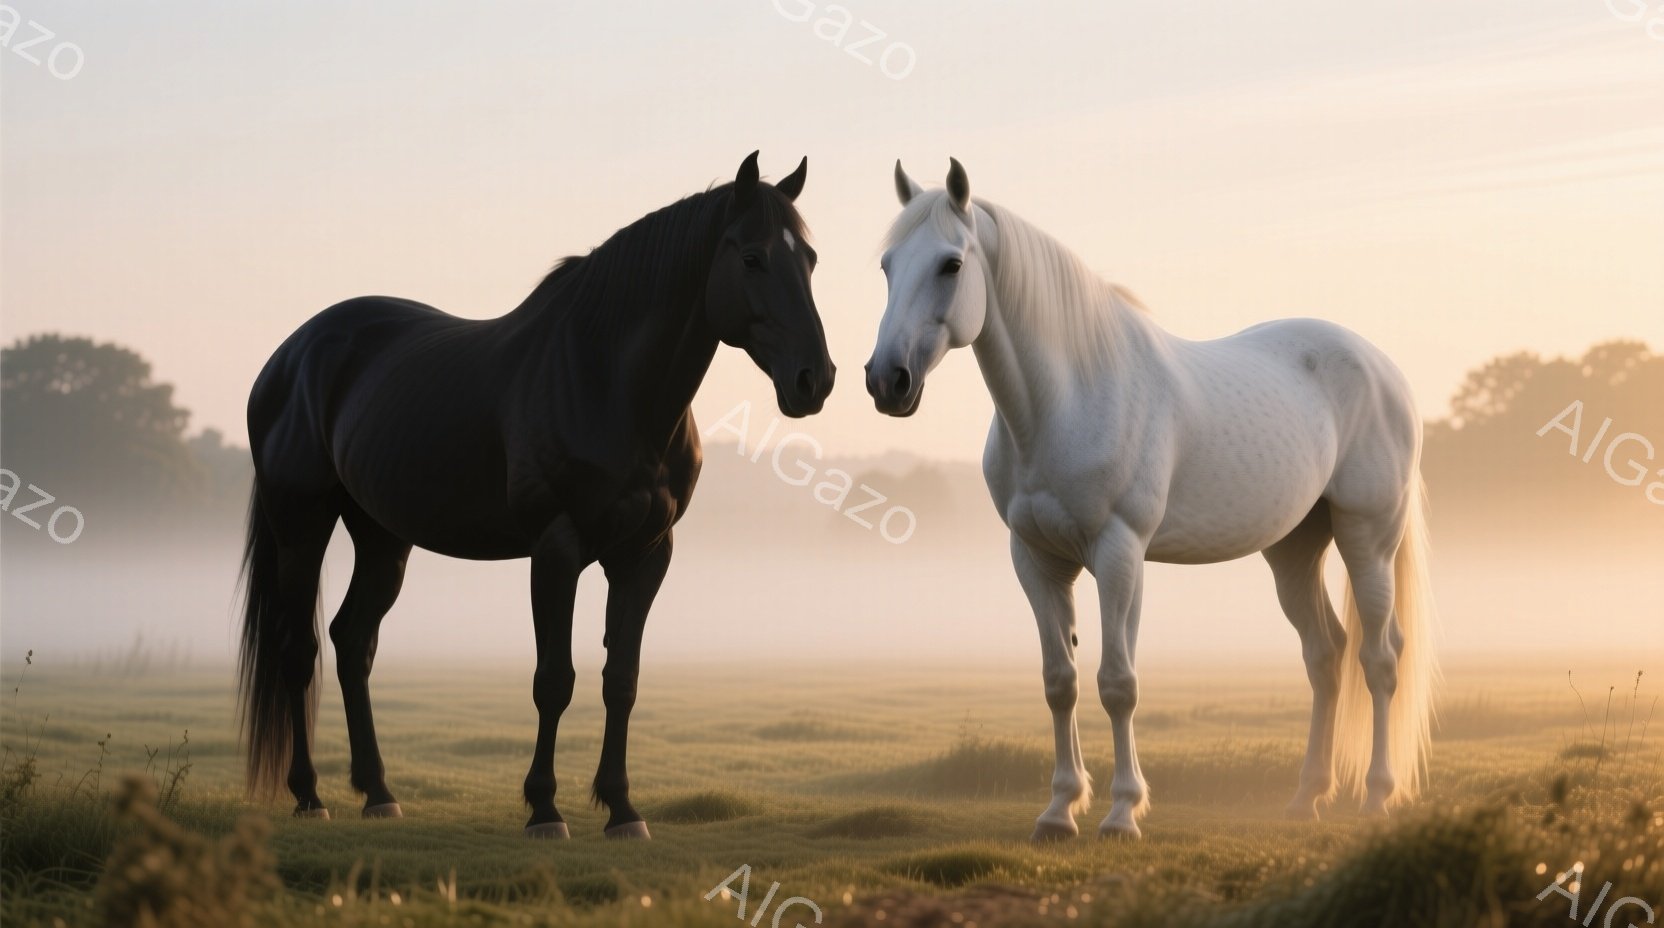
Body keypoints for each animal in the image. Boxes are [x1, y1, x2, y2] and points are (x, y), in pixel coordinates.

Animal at [238, 152, 834, 839]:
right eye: (753, 258)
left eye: (809, 259)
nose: (815, 379)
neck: (608, 382)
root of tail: (290, 356)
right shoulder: (556, 548)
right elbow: (554, 680)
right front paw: (545, 809)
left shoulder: (646, 554)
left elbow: (621, 679)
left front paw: (622, 809)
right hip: (300, 526)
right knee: (299, 649)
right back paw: (310, 794)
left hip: (382, 536)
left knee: (352, 642)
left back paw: (379, 793)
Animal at [865, 159, 1437, 840]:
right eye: (887, 265)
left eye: (951, 264)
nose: (886, 380)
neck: (1069, 399)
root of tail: (1382, 368)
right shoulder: (1035, 559)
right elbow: (1060, 682)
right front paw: (1060, 810)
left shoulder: (1119, 553)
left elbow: (1118, 682)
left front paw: (1121, 812)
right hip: (1294, 549)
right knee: (1326, 657)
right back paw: (1306, 798)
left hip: (1367, 539)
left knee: (1380, 659)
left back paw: (1376, 795)